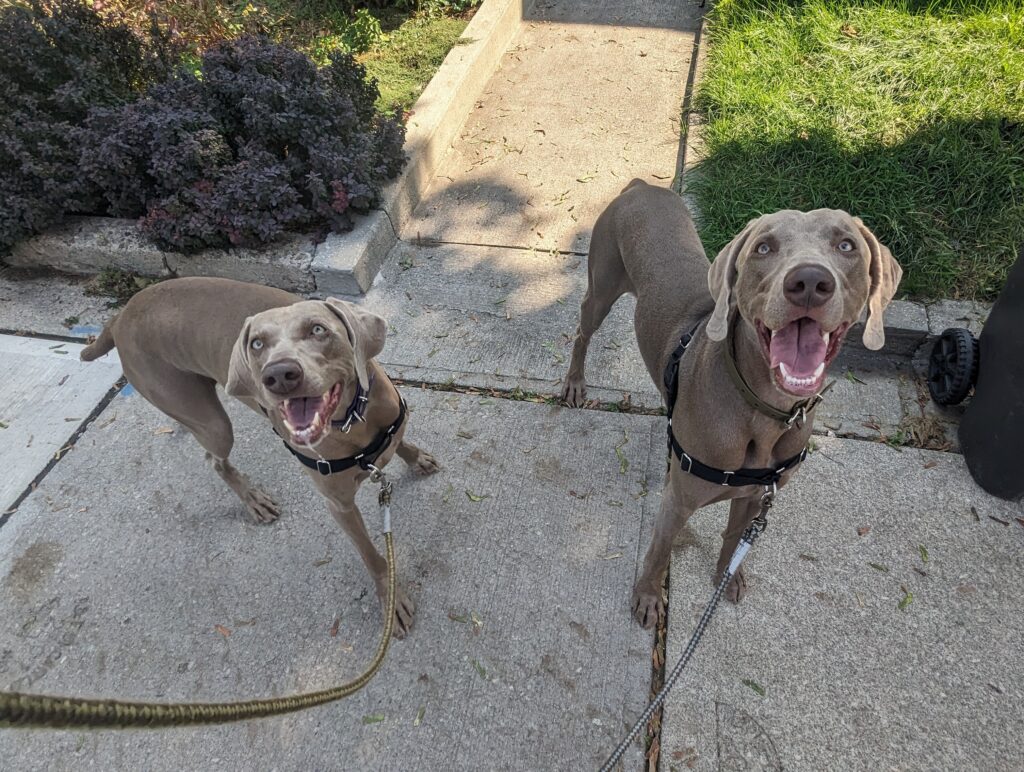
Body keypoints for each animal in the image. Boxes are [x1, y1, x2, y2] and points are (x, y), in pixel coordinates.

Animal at [83, 278, 440, 638]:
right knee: (215, 460)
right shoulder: (339, 505)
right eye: (256, 343)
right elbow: (371, 555)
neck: (354, 419)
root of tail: (120, 317)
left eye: (318, 329)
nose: (279, 375)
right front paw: (391, 600)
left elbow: (399, 442)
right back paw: (254, 500)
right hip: (212, 422)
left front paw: (416, 458)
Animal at [561, 180, 905, 626]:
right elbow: (659, 551)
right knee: (583, 330)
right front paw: (649, 597)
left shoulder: (756, 493)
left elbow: (733, 535)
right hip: (601, 284)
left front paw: (728, 574)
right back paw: (574, 383)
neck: (764, 411)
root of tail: (643, 185)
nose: (810, 281)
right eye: (764, 247)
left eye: (846, 245)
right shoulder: (679, 501)